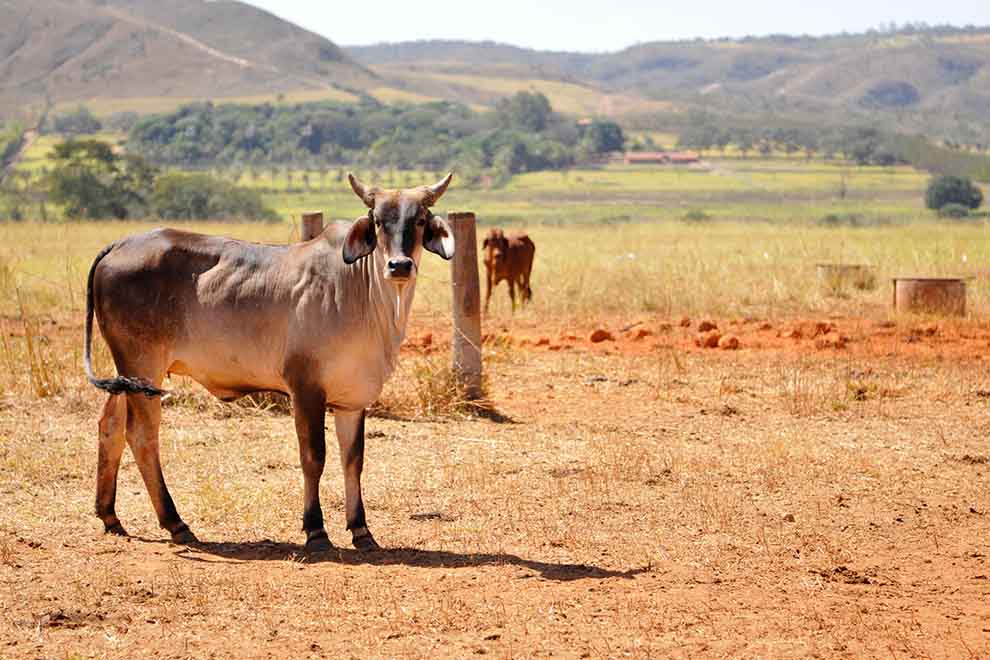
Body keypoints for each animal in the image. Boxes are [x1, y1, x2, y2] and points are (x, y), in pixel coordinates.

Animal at [83, 173, 454, 553]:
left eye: (420, 220)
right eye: (378, 221)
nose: (399, 265)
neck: (362, 294)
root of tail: (120, 243)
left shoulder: (352, 400)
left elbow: (353, 461)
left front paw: (361, 530)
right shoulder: (305, 388)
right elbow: (314, 457)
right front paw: (315, 530)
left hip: (128, 375)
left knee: (110, 425)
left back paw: (110, 516)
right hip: (143, 368)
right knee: (142, 435)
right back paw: (176, 523)